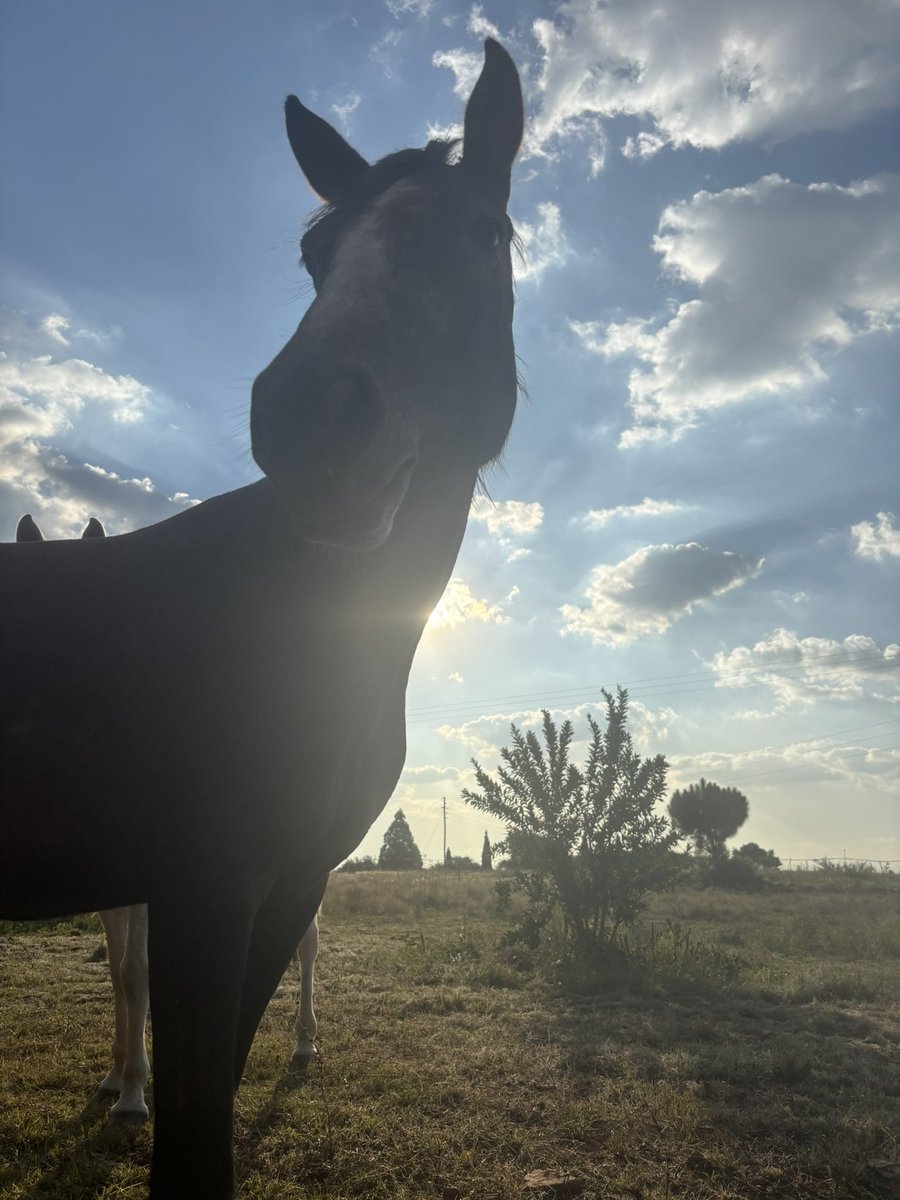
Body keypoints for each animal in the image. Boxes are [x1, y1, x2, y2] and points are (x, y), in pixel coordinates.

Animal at [14, 516, 322, 1129]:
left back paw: (303, 1042)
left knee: (307, 943)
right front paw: (115, 1076)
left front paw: (134, 1095)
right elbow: (119, 973)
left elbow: (139, 971)